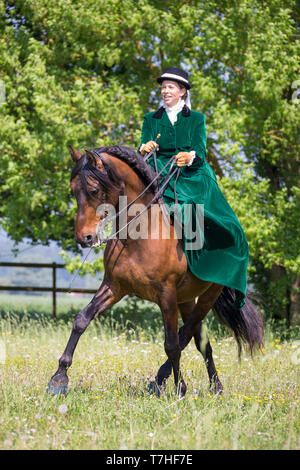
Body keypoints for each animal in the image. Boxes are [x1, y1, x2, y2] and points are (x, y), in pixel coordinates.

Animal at [46, 145, 262, 394]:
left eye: (93, 190)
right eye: (73, 191)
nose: (85, 238)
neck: (141, 233)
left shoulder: (166, 294)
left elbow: (172, 344)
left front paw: (179, 388)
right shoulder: (114, 287)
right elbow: (82, 319)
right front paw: (59, 378)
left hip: (208, 295)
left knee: (186, 335)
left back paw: (165, 381)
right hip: (186, 299)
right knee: (201, 341)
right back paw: (213, 386)